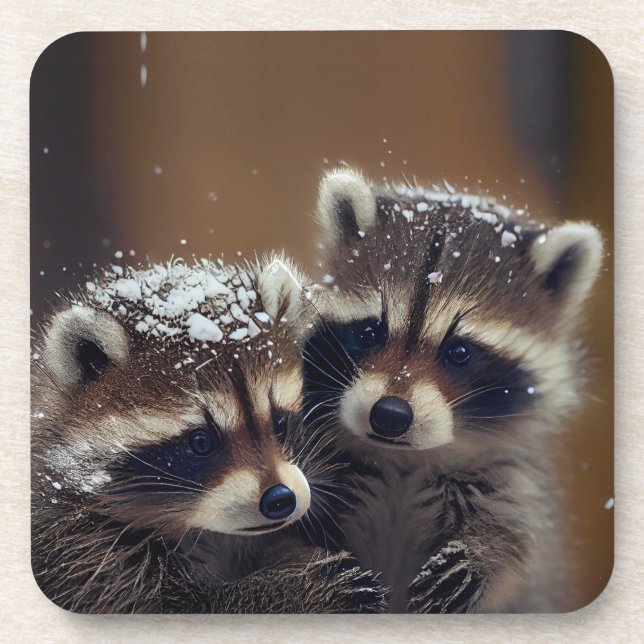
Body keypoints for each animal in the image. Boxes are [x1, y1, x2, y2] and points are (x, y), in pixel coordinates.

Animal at [31, 253, 387, 613]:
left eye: (279, 423)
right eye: (201, 442)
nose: (281, 500)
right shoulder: (79, 545)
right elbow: (180, 604)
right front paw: (296, 588)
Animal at [302, 168, 604, 612]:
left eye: (459, 352)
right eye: (370, 332)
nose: (389, 415)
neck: (403, 462)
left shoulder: (509, 474)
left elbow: (520, 536)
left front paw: (484, 552)